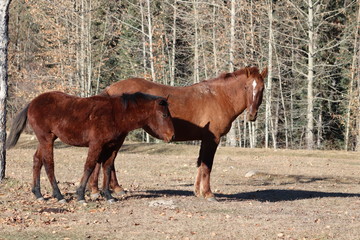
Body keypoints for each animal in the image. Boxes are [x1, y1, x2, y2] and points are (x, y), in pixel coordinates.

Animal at [5, 91, 174, 202]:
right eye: (164, 115)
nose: (172, 136)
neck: (115, 114)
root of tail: (32, 102)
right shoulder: (96, 145)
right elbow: (90, 166)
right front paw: (80, 194)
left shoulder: (112, 147)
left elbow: (107, 167)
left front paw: (108, 195)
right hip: (46, 139)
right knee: (48, 164)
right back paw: (58, 195)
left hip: (46, 139)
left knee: (37, 160)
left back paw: (38, 194)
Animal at [90, 65, 268, 201]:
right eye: (246, 87)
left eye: (262, 88)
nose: (252, 115)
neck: (219, 97)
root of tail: (110, 89)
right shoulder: (212, 139)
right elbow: (207, 166)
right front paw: (208, 194)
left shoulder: (204, 140)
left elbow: (200, 164)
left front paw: (198, 192)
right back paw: (101, 190)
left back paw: (105, 189)